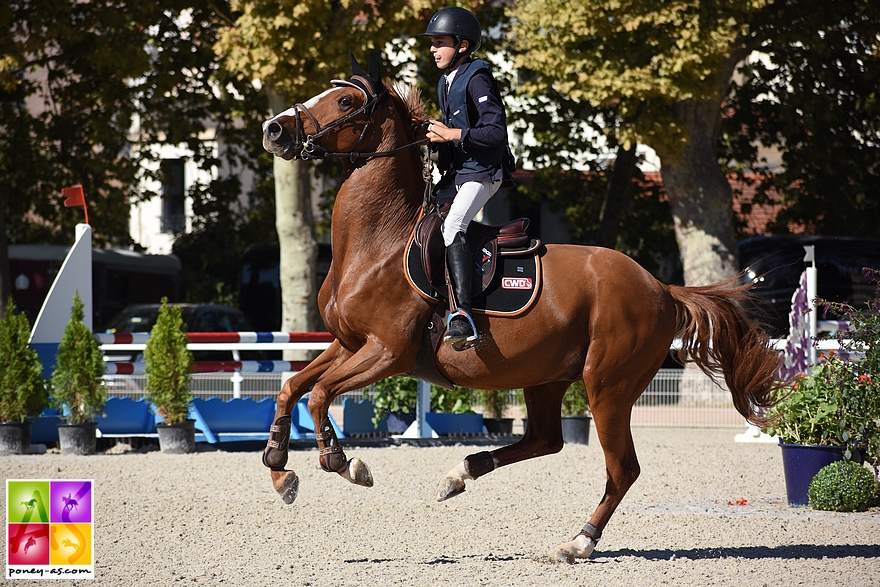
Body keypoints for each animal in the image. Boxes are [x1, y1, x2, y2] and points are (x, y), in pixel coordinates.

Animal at [258, 56, 780, 564]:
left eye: (345, 101)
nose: (274, 130)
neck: (378, 241)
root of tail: (660, 287)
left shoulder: (387, 352)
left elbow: (320, 394)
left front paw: (344, 463)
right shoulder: (349, 345)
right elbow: (292, 388)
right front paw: (280, 470)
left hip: (607, 387)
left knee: (621, 468)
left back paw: (579, 542)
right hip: (546, 377)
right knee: (546, 440)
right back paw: (460, 474)